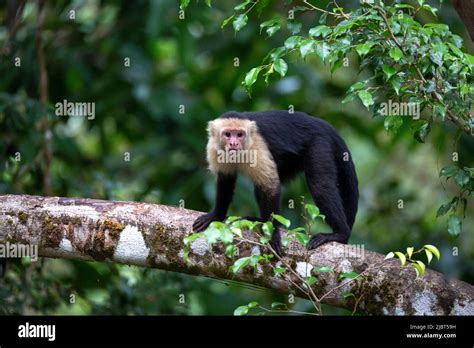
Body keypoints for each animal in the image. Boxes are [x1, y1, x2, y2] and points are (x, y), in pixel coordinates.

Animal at [191, 110, 358, 254]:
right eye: (227, 134)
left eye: (239, 134)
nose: (233, 143)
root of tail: (323, 125)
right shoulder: (214, 148)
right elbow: (225, 180)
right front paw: (216, 215)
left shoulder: (257, 145)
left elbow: (270, 186)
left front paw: (272, 234)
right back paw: (259, 220)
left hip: (320, 144)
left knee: (321, 188)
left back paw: (340, 234)